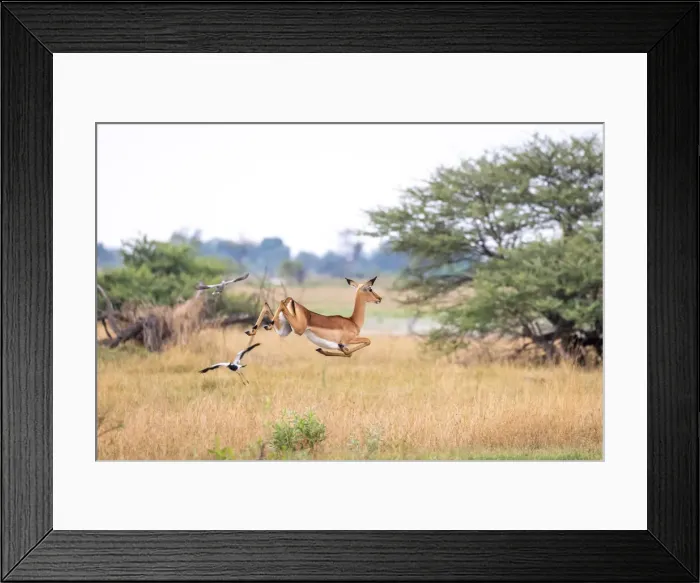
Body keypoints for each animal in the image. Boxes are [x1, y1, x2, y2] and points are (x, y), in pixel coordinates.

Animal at [244, 276, 382, 357]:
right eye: (370, 289)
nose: (379, 298)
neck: (352, 321)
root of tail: (293, 303)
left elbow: (348, 352)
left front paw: (323, 350)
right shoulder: (347, 340)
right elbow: (362, 344)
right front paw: (327, 350)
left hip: (284, 330)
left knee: (267, 305)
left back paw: (254, 330)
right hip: (298, 329)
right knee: (281, 302)